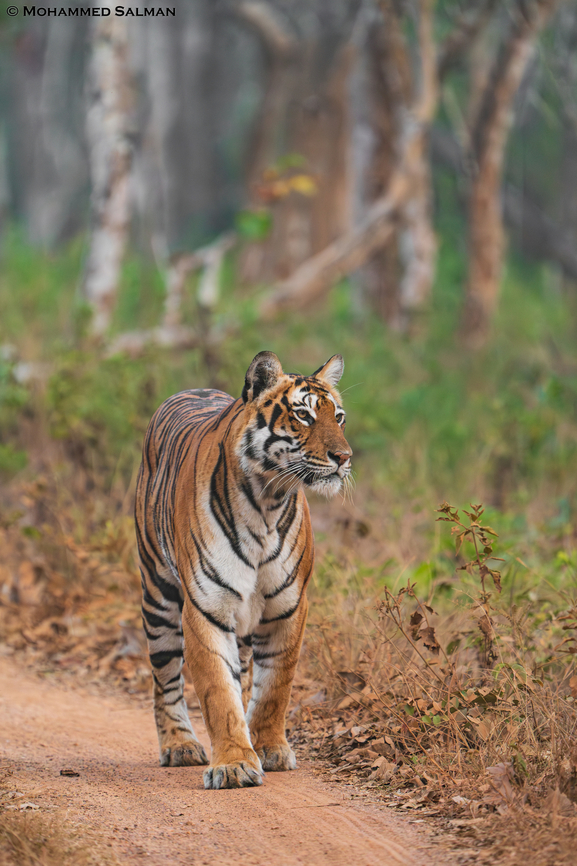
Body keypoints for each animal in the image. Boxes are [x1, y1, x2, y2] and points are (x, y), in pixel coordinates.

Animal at [135, 351, 352, 789]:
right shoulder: (206, 608)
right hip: (158, 595)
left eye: (337, 417)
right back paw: (179, 745)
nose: (344, 458)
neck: (267, 501)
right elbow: (219, 692)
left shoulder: (288, 607)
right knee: (165, 678)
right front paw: (234, 764)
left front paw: (268, 749)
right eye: (304, 415)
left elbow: (274, 688)